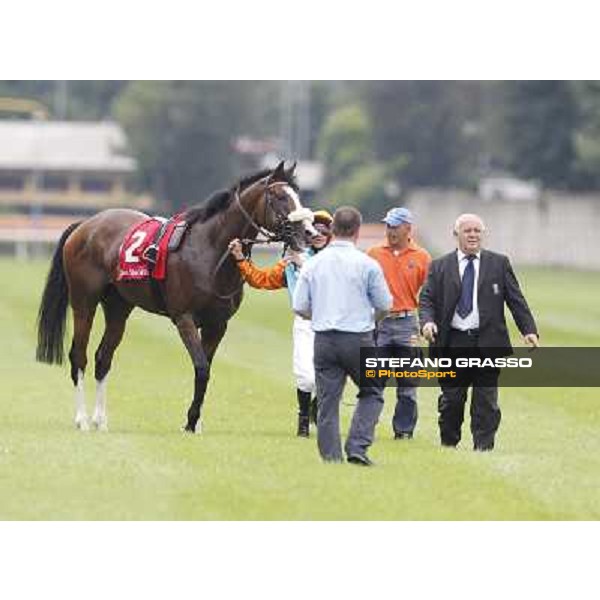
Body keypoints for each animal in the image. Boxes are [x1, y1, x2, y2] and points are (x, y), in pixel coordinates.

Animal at [34, 161, 312, 432]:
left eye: (297, 196)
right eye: (279, 196)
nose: (307, 231)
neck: (209, 250)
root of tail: (85, 225)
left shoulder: (217, 324)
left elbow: (205, 368)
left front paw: (196, 422)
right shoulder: (184, 318)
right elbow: (201, 369)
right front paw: (191, 421)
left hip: (118, 307)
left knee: (103, 357)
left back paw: (99, 420)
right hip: (84, 303)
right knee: (78, 356)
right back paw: (81, 419)